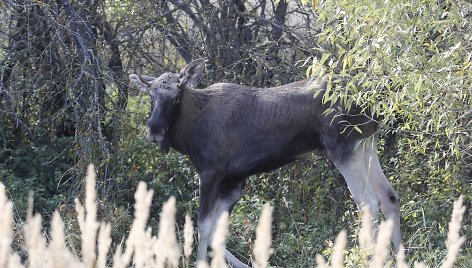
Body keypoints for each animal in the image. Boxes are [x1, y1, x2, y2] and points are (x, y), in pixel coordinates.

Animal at [130, 59, 402, 266]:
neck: (190, 129)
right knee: (389, 196)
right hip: (366, 144)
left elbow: (204, 225)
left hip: (342, 148)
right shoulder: (234, 181)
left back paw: (367, 258)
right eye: (151, 96)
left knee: (368, 202)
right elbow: (218, 230)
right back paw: (398, 257)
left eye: (176, 97)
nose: (154, 131)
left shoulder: (211, 171)